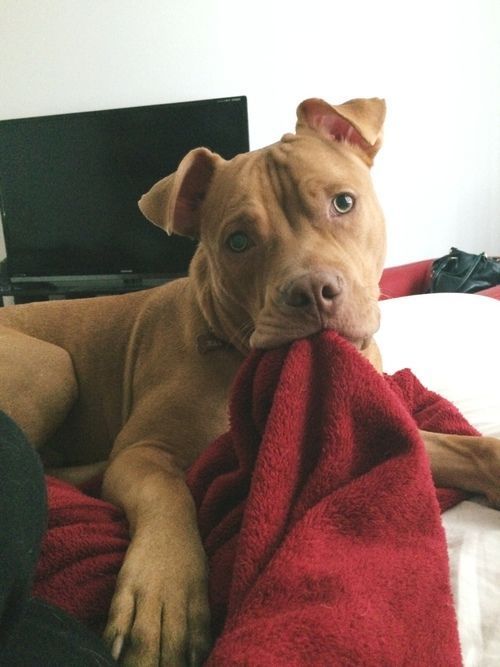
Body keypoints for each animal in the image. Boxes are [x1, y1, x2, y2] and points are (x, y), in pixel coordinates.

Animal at [0, 96, 500, 664]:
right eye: (237, 242)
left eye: (343, 203)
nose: (312, 290)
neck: (234, 347)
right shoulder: (141, 452)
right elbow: (168, 492)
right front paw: (166, 597)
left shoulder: (369, 428)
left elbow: (462, 448)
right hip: (50, 364)